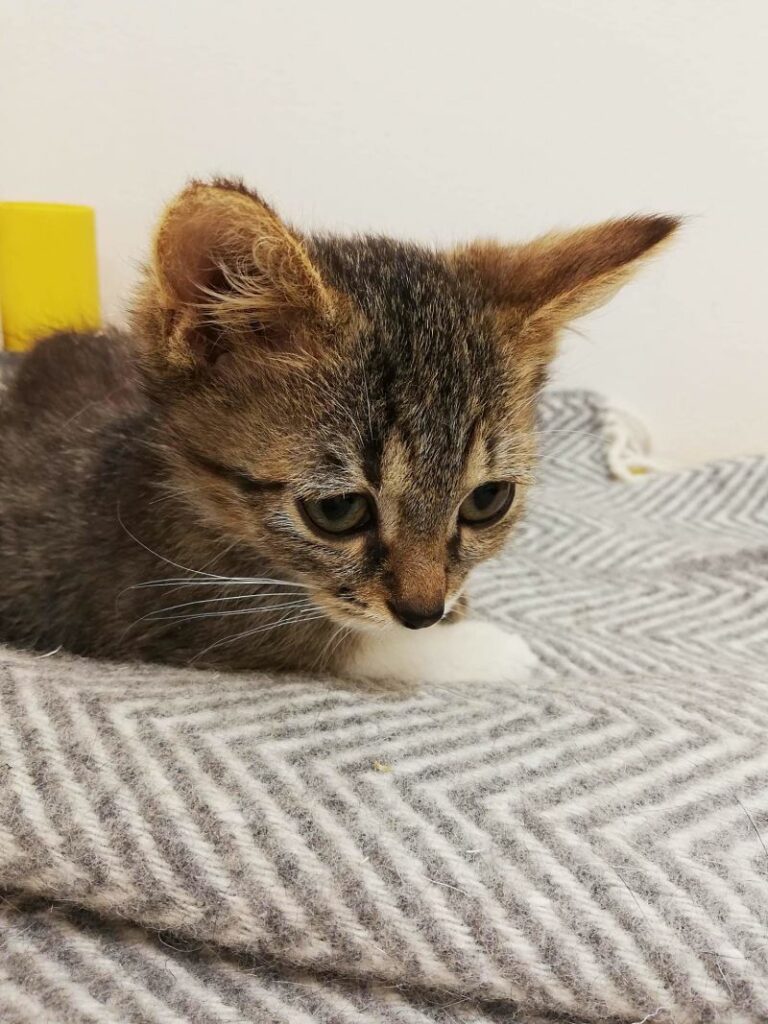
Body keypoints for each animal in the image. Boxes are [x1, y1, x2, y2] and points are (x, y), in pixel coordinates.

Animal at [0, 179, 677, 685]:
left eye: (488, 500)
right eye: (337, 511)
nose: (423, 612)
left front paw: (462, 616)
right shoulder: (139, 599)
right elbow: (328, 637)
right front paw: (485, 647)